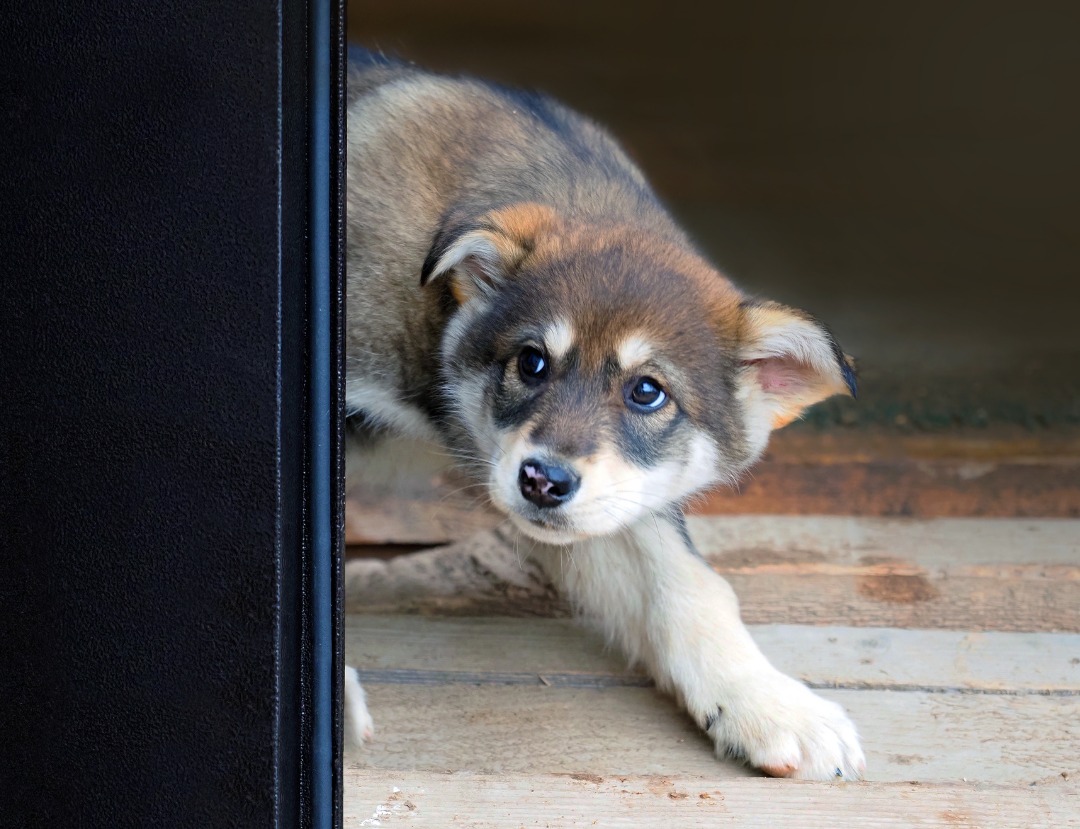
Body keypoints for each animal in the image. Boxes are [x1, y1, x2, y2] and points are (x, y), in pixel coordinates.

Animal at [341, 48, 864, 781]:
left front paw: (768, 703)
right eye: (532, 362)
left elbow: (688, 583)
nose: (543, 482)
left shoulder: (615, 503)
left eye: (648, 392)